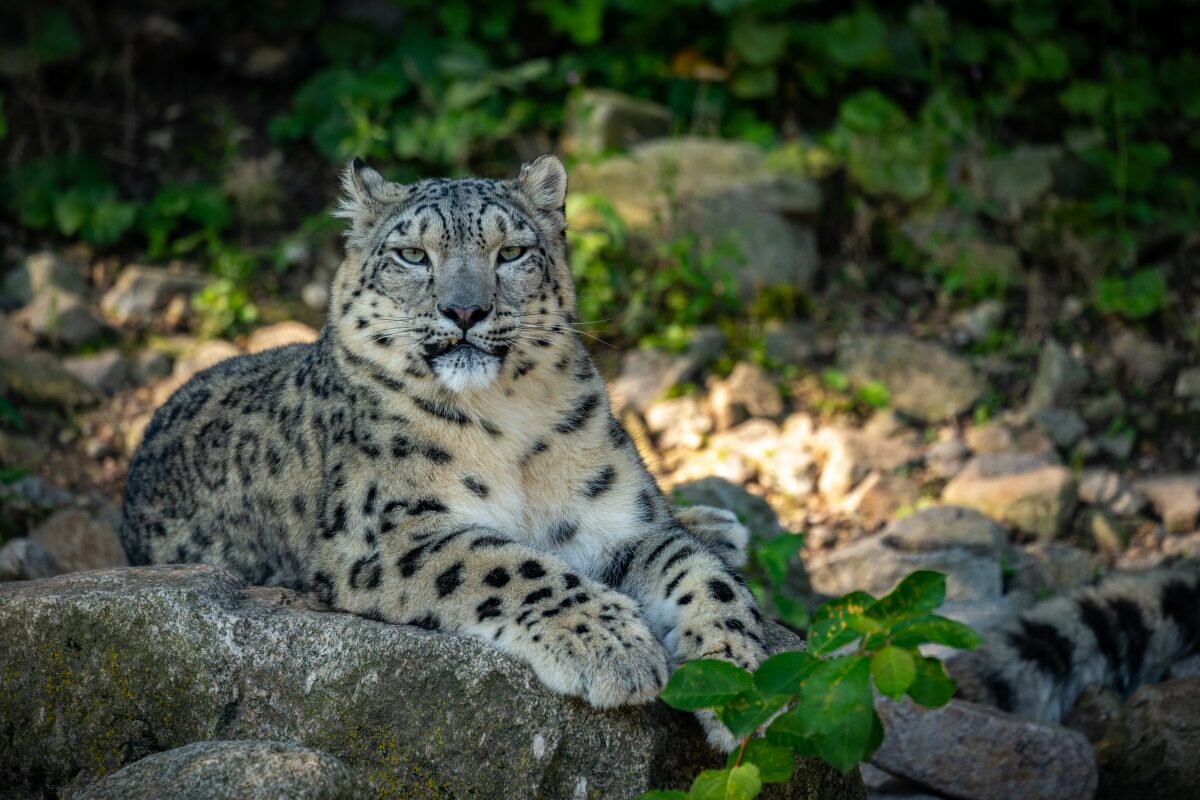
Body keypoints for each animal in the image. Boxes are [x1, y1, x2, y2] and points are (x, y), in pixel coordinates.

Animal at [124, 154, 768, 753]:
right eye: (412, 254)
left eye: (511, 252)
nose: (464, 311)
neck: (509, 420)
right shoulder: (385, 532)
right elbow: (508, 564)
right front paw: (616, 648)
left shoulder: (617, 519)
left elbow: (704, 576)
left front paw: (740, 687)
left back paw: (720, 525)